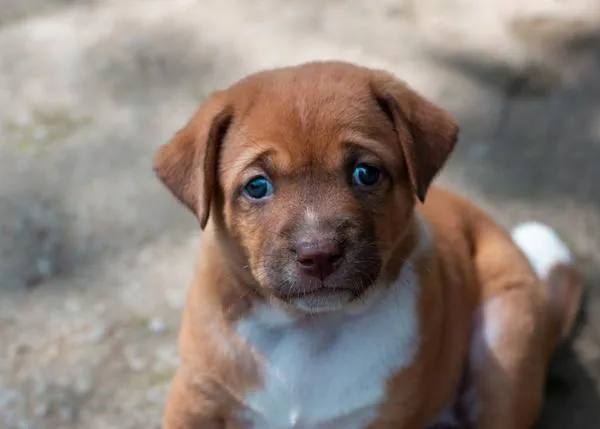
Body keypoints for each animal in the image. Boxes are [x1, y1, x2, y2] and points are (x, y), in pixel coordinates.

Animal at [154, 61, 580, 428]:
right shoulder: (196, 399)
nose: (319, 254)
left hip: (507, 344)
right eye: (257, 186)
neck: (309, 329)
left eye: (366, 173)